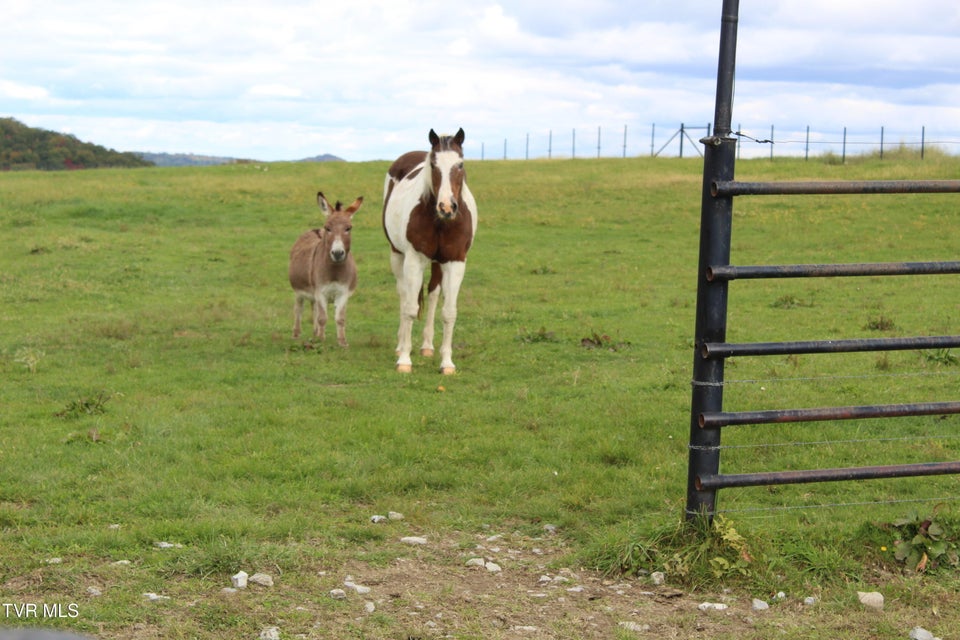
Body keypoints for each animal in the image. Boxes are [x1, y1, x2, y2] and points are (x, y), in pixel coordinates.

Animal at [286, 194, 362, 348]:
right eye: (328, 228)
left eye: (348, 228)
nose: (337, 253)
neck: (335, 271)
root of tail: (314, 230)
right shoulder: (321, 292)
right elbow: (322, 318)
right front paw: (321, 340)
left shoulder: (343, 293)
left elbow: (340, 318)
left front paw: (342, 342)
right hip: (299, 291)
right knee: (299, 309)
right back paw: (297, 334)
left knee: (314, 309)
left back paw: (315, 333)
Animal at [378, 127, 476, 372]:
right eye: (433, 164)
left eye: (460, 164)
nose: (447, 206)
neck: (441, 221)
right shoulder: (414, 260)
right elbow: (411, 308)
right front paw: (404, 359)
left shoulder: (455, 262)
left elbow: (449, 313)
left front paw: (447, 363)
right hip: (397, 255)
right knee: (404, 295)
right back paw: (400, 345)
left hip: (438, 263)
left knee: (432, 295)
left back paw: (427, 346)